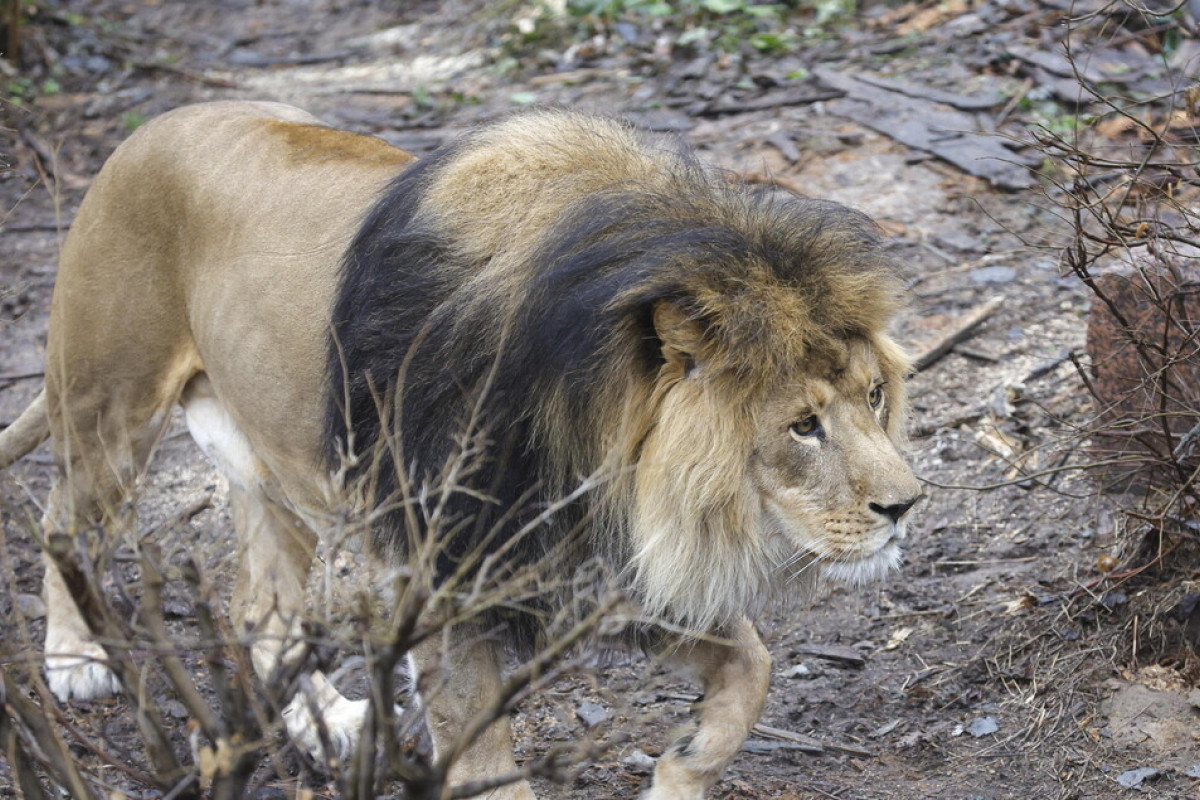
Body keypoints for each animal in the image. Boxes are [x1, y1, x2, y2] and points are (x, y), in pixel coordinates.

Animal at [0, 101, 922, 799]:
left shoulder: (590, 572)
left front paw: (680, 768)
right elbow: (487, 771)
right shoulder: (446, 589)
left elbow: (752, 669)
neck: (585, 439)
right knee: (61, 521)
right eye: (802, 426)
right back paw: (75, 657)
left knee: (259, 608)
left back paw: (329, 722)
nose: (906, 506)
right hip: (110, 408)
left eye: (874, 398)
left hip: (270, 466)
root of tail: (151, 127)